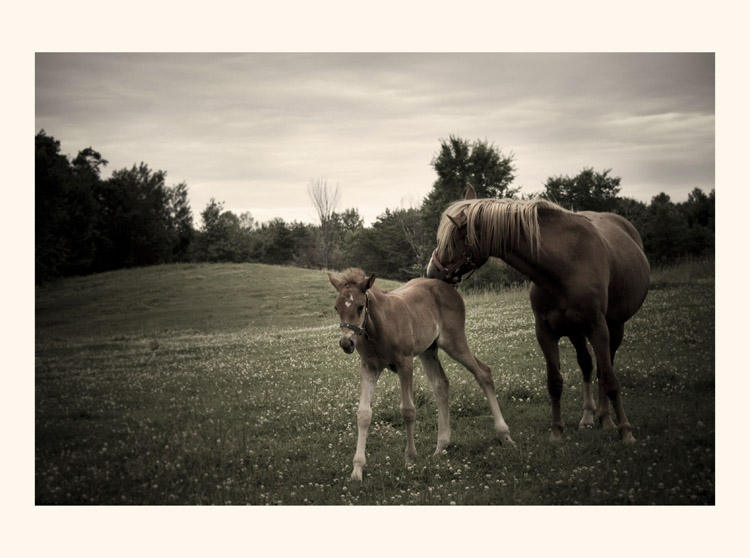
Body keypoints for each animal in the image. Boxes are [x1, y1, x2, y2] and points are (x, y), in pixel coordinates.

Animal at [330, 270, 516, 484]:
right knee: (441, 384)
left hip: (455, 343)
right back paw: (441, 445)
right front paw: (357, 469)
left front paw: (410, 458)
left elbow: (408, 410)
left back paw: (505, 435)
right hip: (428, 351)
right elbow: (364, 414)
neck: (380, 327)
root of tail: (448, 287)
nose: (346, 343)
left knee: (483, 372)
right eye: (336, 307)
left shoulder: (405, 364)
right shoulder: (369, 368)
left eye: (360, 306)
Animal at [428, 186, 652, 444]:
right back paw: (588, 417)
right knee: (586, 365)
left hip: (614, 328)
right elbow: (554, 382)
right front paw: (556, 431)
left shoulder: (598, 327)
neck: (565, 264)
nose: (431, 273)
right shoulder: (545, 331)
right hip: (575, 331)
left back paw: (606, 417)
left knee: (604, 369)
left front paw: (626, 430)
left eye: (453, 239)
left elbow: (610, 380)